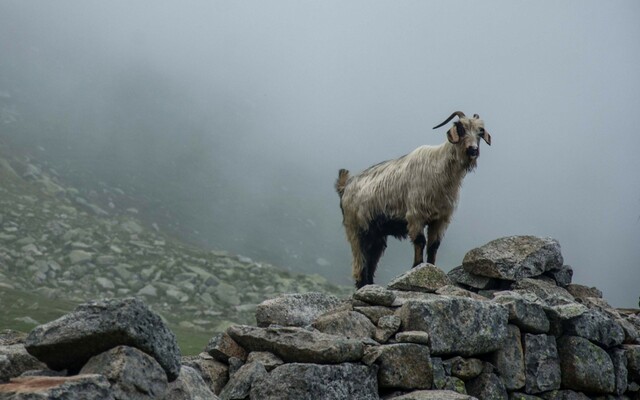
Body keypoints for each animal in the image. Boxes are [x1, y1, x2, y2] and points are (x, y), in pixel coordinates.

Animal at [336, 111, 490, 290]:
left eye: (480, 132)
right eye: (460, 128)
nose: (473, 150)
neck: (440, 167)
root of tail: (345, 186)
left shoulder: (441, 219)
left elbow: (433, 246)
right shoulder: (416, 215)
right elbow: (420, 241)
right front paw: (417, 268)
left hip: (377, 234)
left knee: (372, 260)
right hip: (356, 230)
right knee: (359, 262)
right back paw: (362, 284)